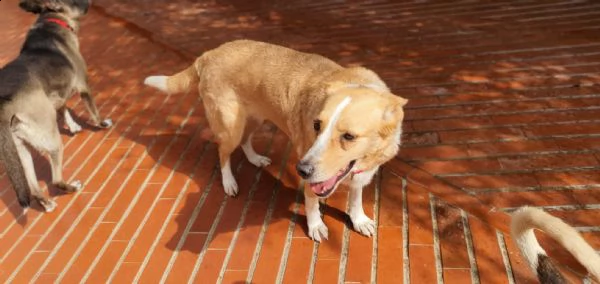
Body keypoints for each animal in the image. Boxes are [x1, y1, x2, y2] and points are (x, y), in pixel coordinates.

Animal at [0, 0, 111, 213]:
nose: (90, 2)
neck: (50, 20)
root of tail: (5, 104)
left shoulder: (56, 94)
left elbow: (63, 107)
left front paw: (73, 126)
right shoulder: (83, 85)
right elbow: (93, 111)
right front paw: (102, 124)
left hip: (20, 151)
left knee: (34, 187)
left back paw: (47, 203)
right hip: (52, 141)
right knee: (56, 180)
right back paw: (72, 187)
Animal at [145, 38, 408, 241]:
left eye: (349, 136)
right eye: (316, 125)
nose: (301, 170)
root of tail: (209, 54)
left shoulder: (360, 174)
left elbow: (355, 197)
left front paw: (358, 219)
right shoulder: (313, 176)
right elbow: (312, 201)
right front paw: (315, 226)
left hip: (255, 118)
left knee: (246, 141)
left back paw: (255, 159)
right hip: (231, 126)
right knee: (223, 152)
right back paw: (229, 182)